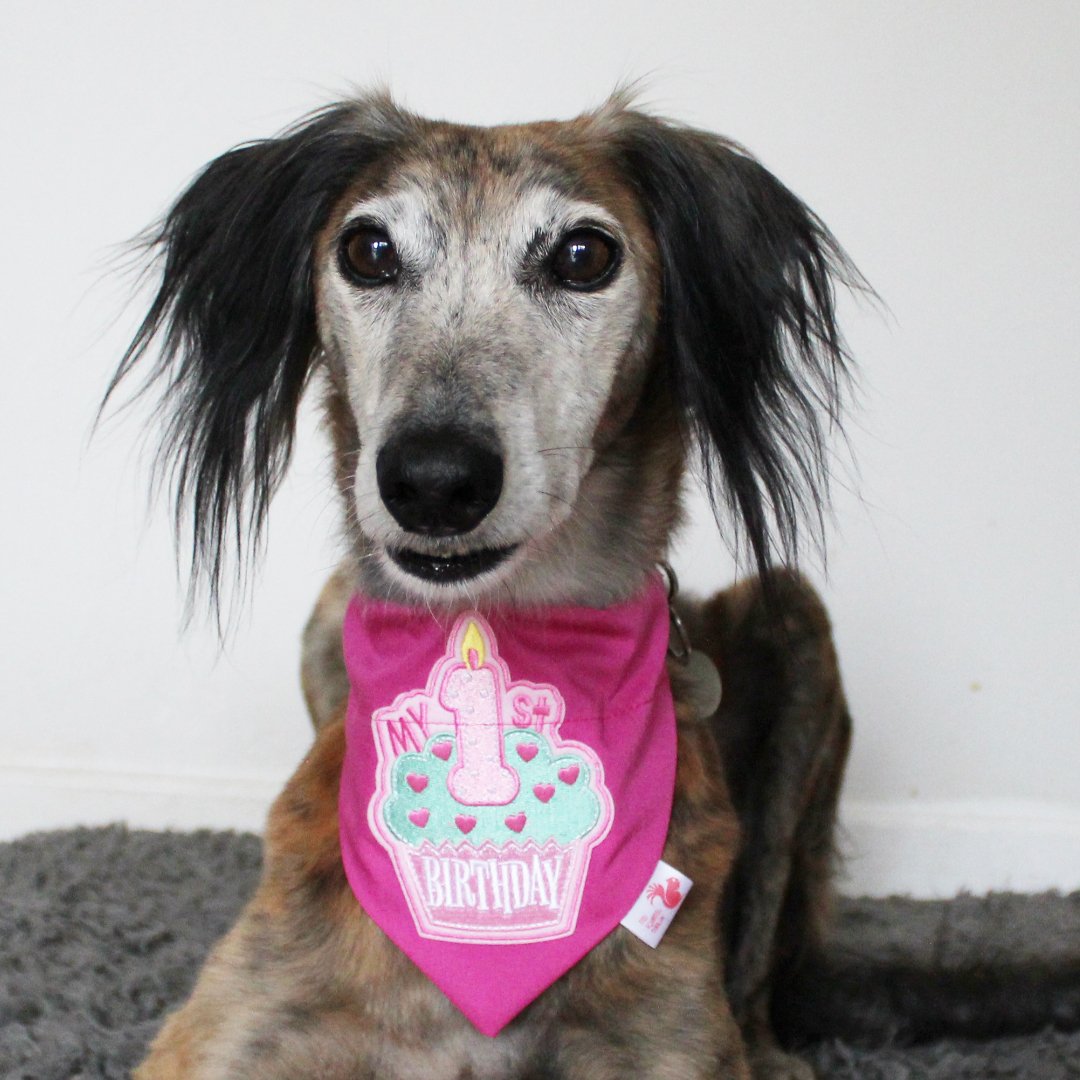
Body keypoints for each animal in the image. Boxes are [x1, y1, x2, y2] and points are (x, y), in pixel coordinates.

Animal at [113, 90, 855, 1080]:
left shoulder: (666, 1045)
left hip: (797, 622)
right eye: (367, 250)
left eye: (584, 255)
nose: (432, 482)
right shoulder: (222, 1033)